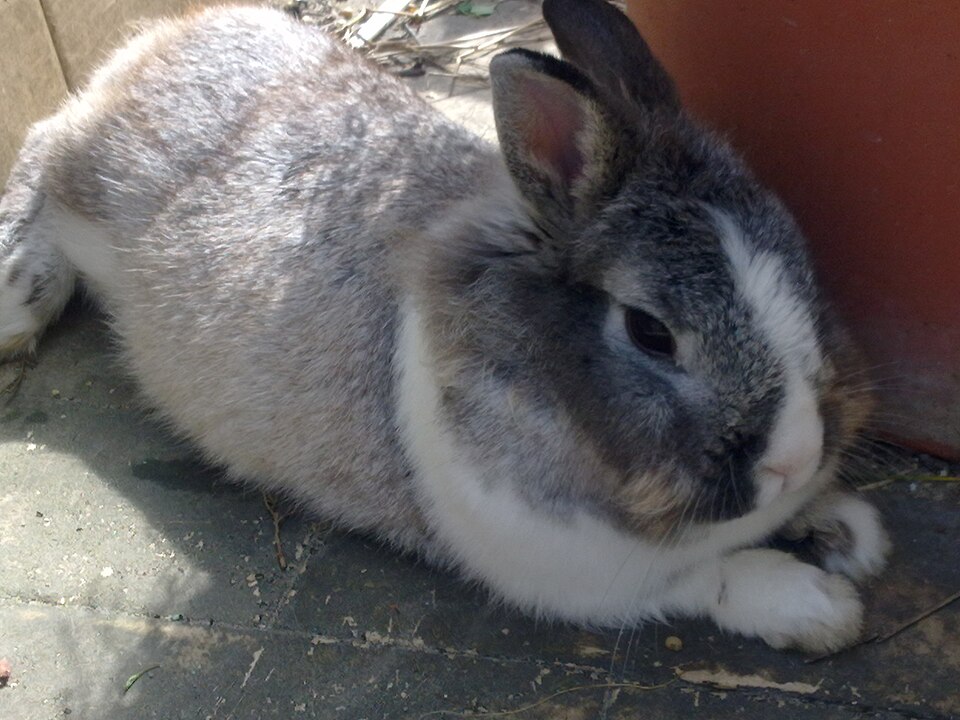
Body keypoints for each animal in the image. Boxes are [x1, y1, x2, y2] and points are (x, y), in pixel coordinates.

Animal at [0, 0, 889, 653]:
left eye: (799, 258)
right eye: (649, 332)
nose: (794, 456)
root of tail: (153, 46)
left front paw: (848, 530)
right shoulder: (577, 571)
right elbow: (714, 578)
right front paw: (820, 605)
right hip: (85, 174)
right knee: (40, 152)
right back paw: (20, 303)